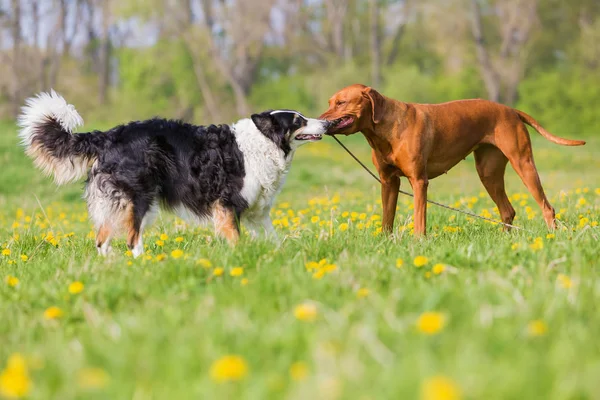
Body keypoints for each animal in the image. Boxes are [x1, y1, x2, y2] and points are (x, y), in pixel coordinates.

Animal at [18, 90, 332, 256]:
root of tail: (108, 135)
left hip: (120, 202)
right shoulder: (227, 205)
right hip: (139, 198)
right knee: (132, 239)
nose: (327, 124)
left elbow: (274, 239)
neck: (262, 143)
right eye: (298, 120)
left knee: (102, 238)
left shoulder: (258, 212)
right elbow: (235, 238)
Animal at [318, 83, 584, 234]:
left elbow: (419, 218)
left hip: (523, 163)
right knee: (507, 210)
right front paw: (386, 241)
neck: (385, 128)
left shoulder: (419, 181)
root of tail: (510, 110)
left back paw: (552, 237)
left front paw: (419, 243)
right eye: (330, 102)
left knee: (547, 207)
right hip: (488, 172)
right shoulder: (388, 182)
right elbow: (387, 217)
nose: (319, 120)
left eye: (341, 102)